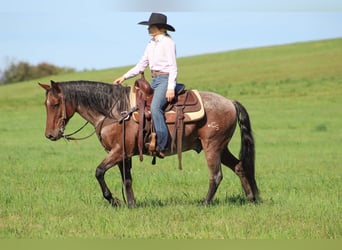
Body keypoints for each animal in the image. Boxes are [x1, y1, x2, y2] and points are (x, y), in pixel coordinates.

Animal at [38, 79, 258, 207]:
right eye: (46, 104)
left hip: (212, 146)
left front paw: (114, 200)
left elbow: (99, 172)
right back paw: (250, 199)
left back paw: (204, 203)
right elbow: (127, 180)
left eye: (55, 104)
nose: (50, 135)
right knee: (239, 167)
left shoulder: (118, 152)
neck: (114, 112)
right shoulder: (124, 155)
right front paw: (131, 204)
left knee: (216, 175)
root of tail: (230, 102)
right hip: (222, 147)